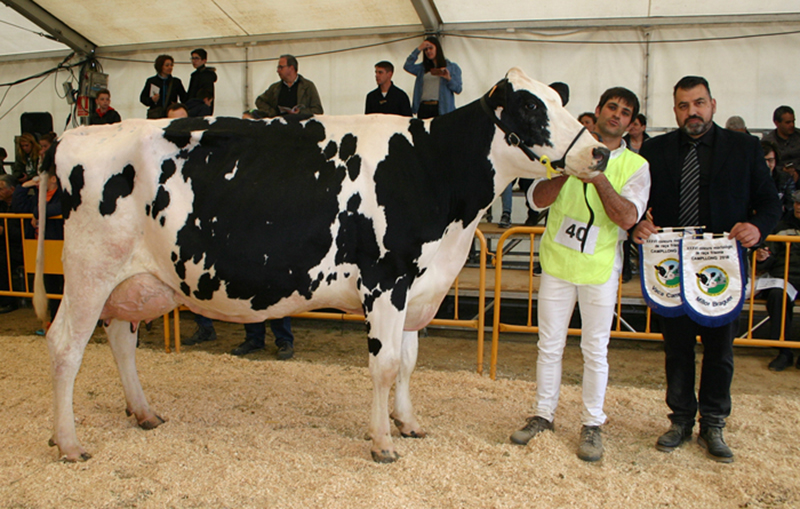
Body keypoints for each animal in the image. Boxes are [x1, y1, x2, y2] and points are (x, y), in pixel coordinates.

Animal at [35, 68, 608, 463]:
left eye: (559, 100)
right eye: (530, 110)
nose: (601, 152)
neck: (432, 170)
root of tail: (72, 136)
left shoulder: (417, 287)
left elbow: (408, 363)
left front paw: (408, 423)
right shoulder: (386, 282)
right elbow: (385, 365)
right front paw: (382, 443)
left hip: (132, 280)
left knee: (120, 339)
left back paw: (144, 413)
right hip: (89, 270)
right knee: (65, 346)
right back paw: (68, 442)